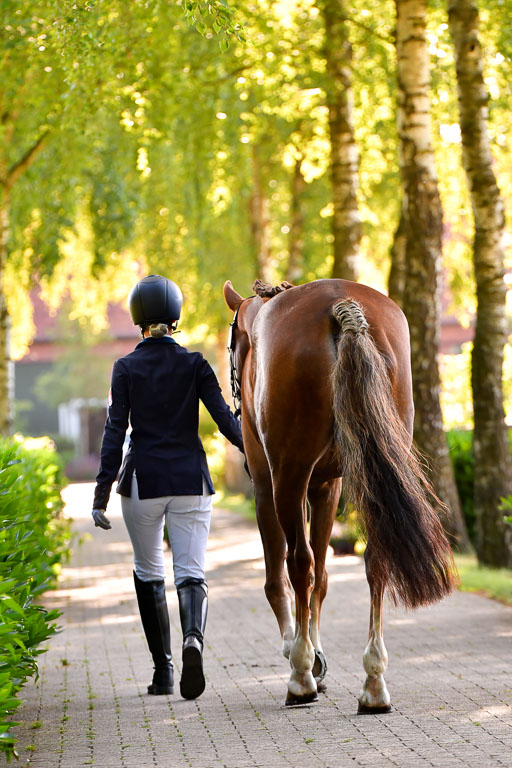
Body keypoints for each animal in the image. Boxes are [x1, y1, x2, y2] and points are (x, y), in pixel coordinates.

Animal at [223, 277, 456, 711]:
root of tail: (340, 304)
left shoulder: (268, 483)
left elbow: (282, 577)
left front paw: (302, 652)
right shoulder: (327, 487)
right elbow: (324, 576)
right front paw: (316, 653)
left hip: (289, 474)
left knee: (298, 563)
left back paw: (300, 676)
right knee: (375, 559)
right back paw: (374, 681)